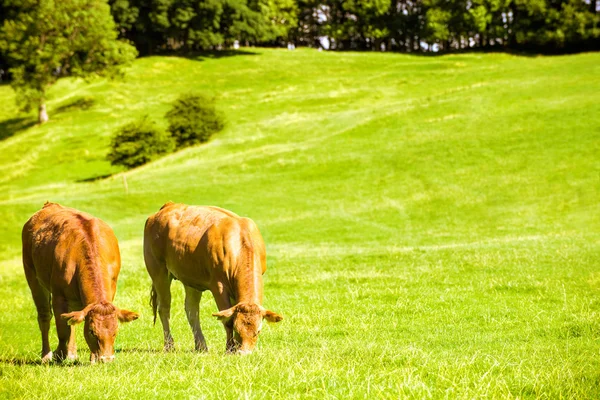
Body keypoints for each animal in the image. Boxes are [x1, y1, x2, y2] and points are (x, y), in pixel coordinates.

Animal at [21, 203, 139, 362]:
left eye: (115, 330)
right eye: (91, 331)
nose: (107, 359)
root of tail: (50, 205)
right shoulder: (59, 296)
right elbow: (62, 329)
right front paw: (60, 354)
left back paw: (71, 352)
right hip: (33, 277)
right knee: (44, 316)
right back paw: (46, 355)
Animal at [144, 203, 282, 354]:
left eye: (258, 331)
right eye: (237, 329)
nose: (243, 353)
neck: (240, 243)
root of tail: (169, 205)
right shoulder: (218, 285)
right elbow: (226, 319)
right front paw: (229, 348)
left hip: (190, 278)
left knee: (191, 310)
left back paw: (201, 345)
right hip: (158, 271)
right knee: (164, 308)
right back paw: (169, 345)